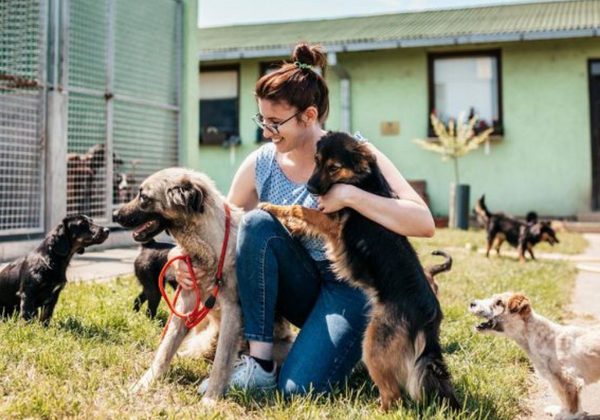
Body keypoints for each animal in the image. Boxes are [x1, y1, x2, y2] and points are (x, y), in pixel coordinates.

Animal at [258, 133, 460, 412]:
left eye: (333, 167)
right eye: (316, 161)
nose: (309, 187)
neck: (361, 180)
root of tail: (430, 314)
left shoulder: (333, 223)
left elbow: (300, 210)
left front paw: (272, 207)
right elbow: (304, 217)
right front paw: (291, 225)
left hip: (372, 346)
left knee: (393, 396)